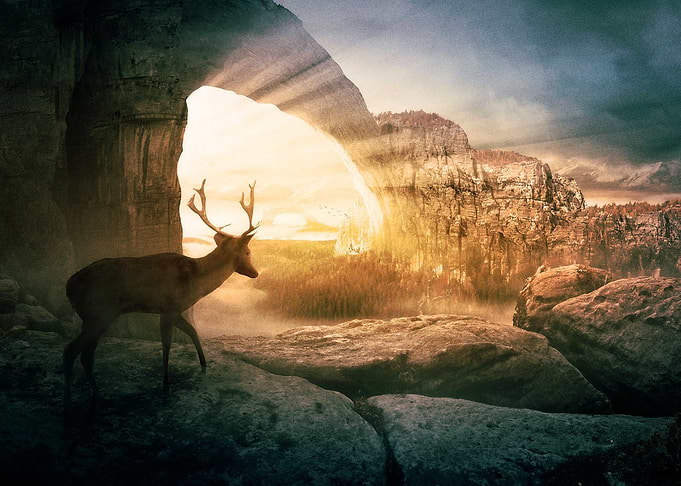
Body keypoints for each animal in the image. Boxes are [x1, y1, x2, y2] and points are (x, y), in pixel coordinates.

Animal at [63, 179, 259, 415]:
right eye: (248, 252)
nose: (256, 273)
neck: (194, 280)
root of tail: (69, 286)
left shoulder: (176, 309)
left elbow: (193, 332)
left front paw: (203, 364)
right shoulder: (169, 307)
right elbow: (167, 343)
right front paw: (165, 381)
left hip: (94, 318)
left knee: (85, 355)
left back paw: (91, 392)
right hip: (99, 313)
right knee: (72, 351)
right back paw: (75, 397)